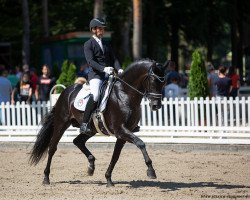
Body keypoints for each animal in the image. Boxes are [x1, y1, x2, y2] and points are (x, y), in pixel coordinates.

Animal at [29, 58, 166, 187]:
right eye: (153, 81)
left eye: (163, 83)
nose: (156, 106)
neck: (125, 93)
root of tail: (65, 92)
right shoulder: (121, 130)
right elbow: (140, 143)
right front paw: (151, 171)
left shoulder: (123, 134)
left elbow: (115, 156)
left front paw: (108, 179)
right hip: (61, 124)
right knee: (52, 148)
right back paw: (46, 178)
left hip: (91, 129)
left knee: (77, 141)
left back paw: (91, 166)